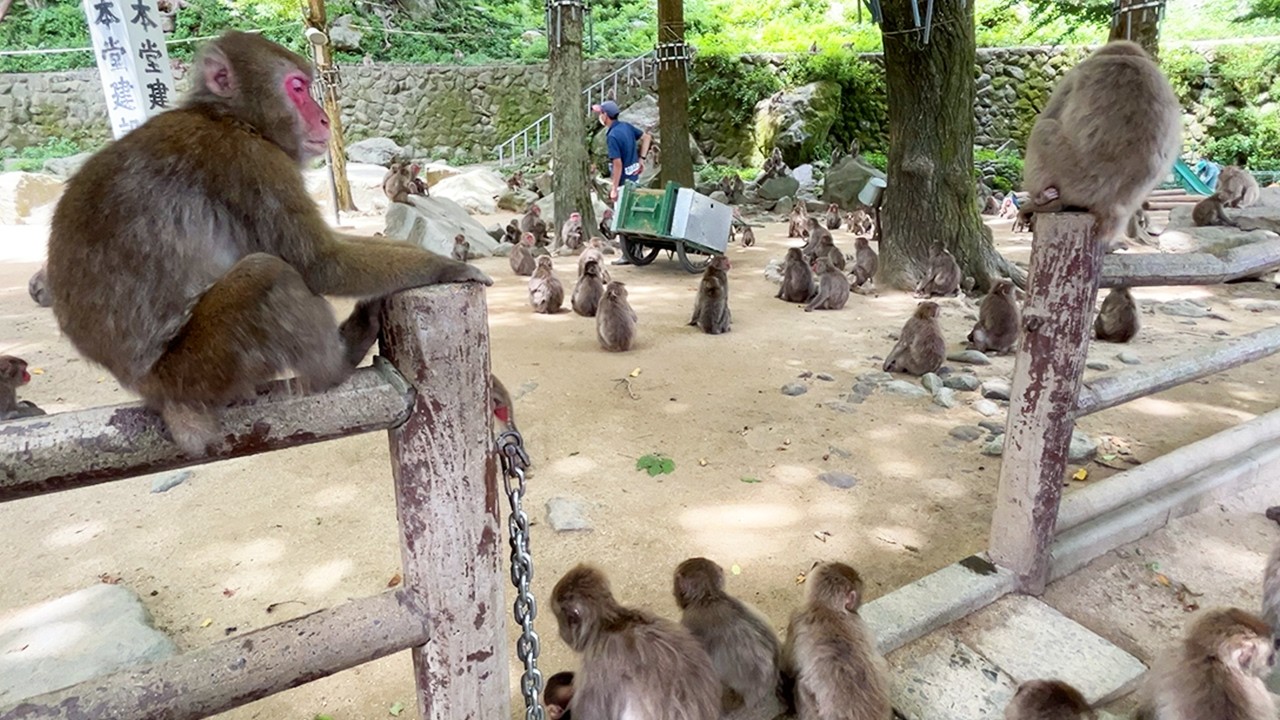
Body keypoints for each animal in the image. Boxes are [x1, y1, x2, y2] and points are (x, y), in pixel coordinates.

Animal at [45, 31, 489, 455]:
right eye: (297, 88)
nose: (324, 119)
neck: (232, 118)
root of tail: (152, 389)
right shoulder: (254, 160)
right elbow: (321, 263)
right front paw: (446, 266)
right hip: (198, 369)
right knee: (268, 275)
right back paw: (337, 364)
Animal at [781, 562, 891, 720]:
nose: (856, 606)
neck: (828, 608)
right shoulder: (860, 622)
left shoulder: (796, 617)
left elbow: (788, 666)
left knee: (800, 685)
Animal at [1021, 41, 1181, 247]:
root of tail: (1109, 204)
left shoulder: (1076, 73)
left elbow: (1050, 114)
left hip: (1069, 176)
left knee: (1043, 129)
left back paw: (1043, 200)